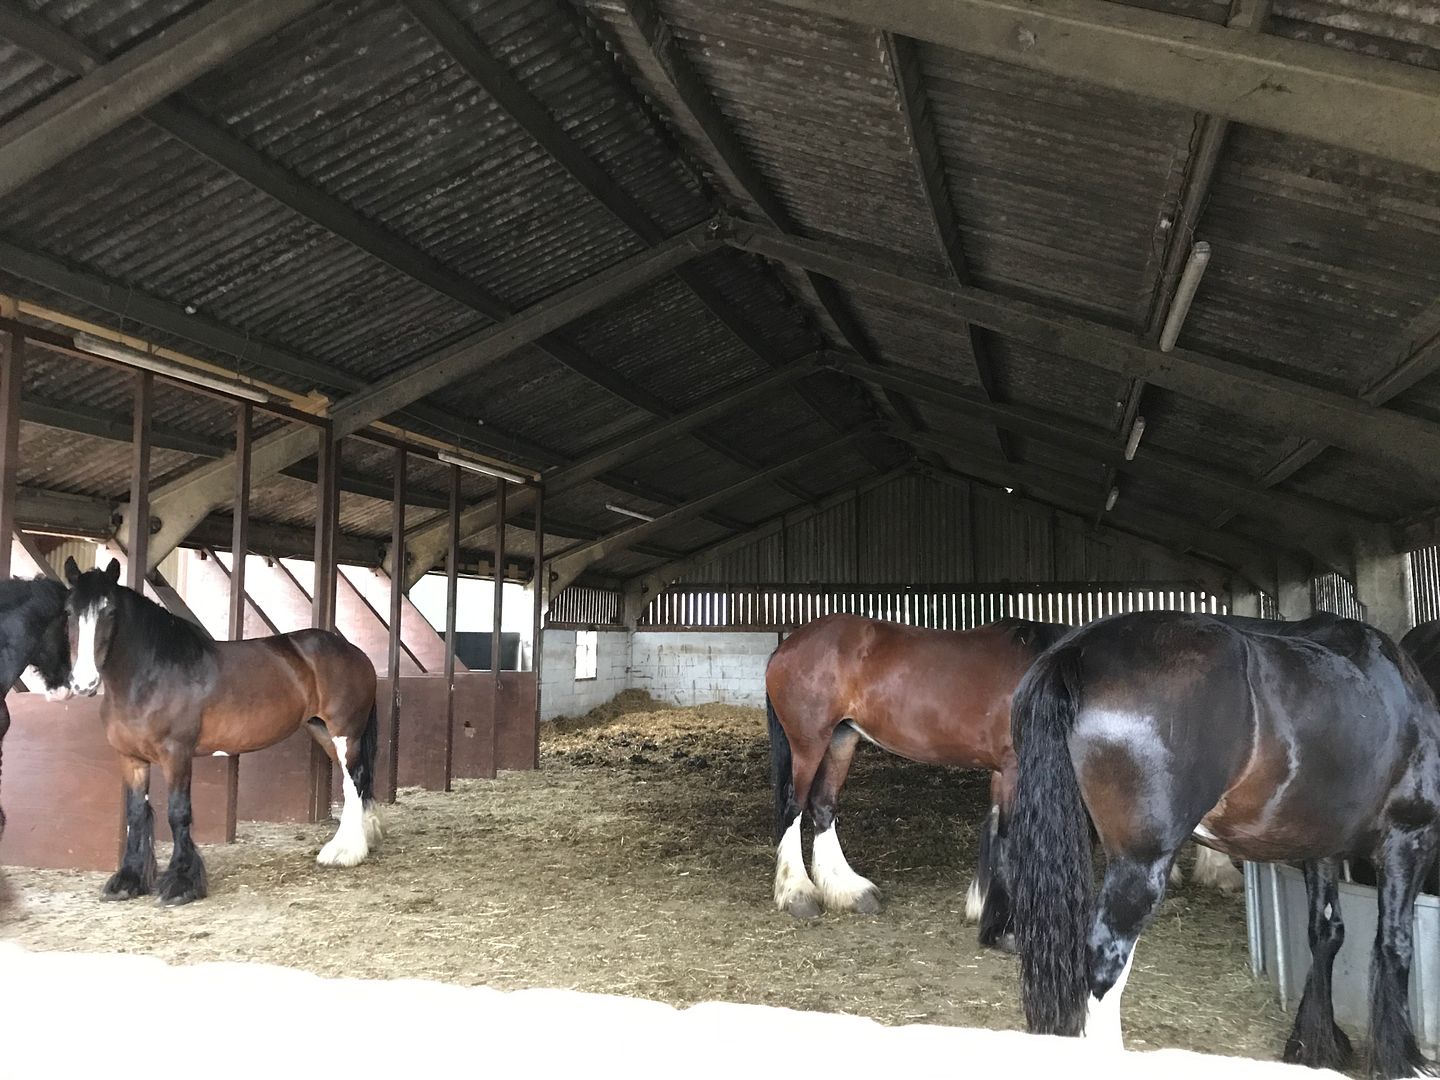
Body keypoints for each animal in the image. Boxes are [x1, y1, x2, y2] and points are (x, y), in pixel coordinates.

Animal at [64, 558, 383, 904]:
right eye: (68, 611)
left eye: (109, 611)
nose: (84, 683)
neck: (152, 675)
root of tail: (353, 650)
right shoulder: (130, 758)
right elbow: (135, 813)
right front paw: (128, 881)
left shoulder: (177, 755)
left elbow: (178, 812)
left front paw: (181, 883)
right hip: (323, 731)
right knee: (356, 782)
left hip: (345, 733)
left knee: (354, 782)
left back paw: (345, 851)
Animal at [765, 612, 1067, 942]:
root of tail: (785, 648)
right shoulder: (1013, 767)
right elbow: (1008, 837)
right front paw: (1006, 930)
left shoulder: (1002, 771)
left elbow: (995, 830)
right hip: (809, 743)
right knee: (793, 807)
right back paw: (798, 894)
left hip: (840, 739)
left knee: (823, 806)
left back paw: (851, 891)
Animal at [1010, 609, 1440, 1077]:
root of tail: (1078, 650)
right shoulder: (1408, 839)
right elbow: (1395, 944)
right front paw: (1403, 1060)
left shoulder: (1320, 849)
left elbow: (1326, 933)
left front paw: (1316, 1046)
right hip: (1140, 864)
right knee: (1105, 965)